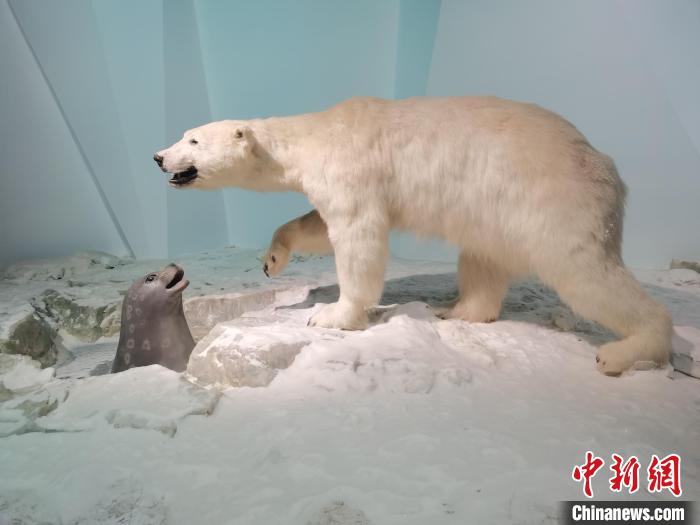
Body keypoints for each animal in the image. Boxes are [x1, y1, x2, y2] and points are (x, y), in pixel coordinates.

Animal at [157, 94, 672, 372]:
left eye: (193, 139)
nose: (159, 156)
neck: (315, 133)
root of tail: (605, 165)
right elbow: (317, 224)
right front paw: (272, 258)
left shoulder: (351, 167)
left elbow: (357, 234)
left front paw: (331, 315)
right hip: (492, 209)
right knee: (482, 257)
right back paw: (458, 309)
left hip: (556, 202)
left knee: (584, 271)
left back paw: (624, 350)